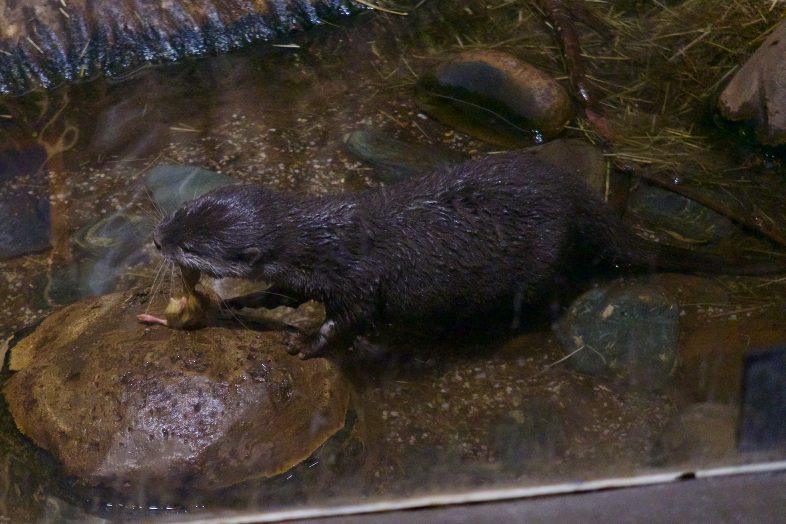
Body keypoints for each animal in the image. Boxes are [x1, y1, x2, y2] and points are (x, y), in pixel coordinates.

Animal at [152, 152, 783, 358]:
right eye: (180, 215)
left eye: (191, 244)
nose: (156, 239)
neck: (325, 243)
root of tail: (581, 197)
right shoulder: (310, 277)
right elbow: (280, 294)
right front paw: (248, 303)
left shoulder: (357, 281)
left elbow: (347, 323)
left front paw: (305, 343)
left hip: (543, 261)